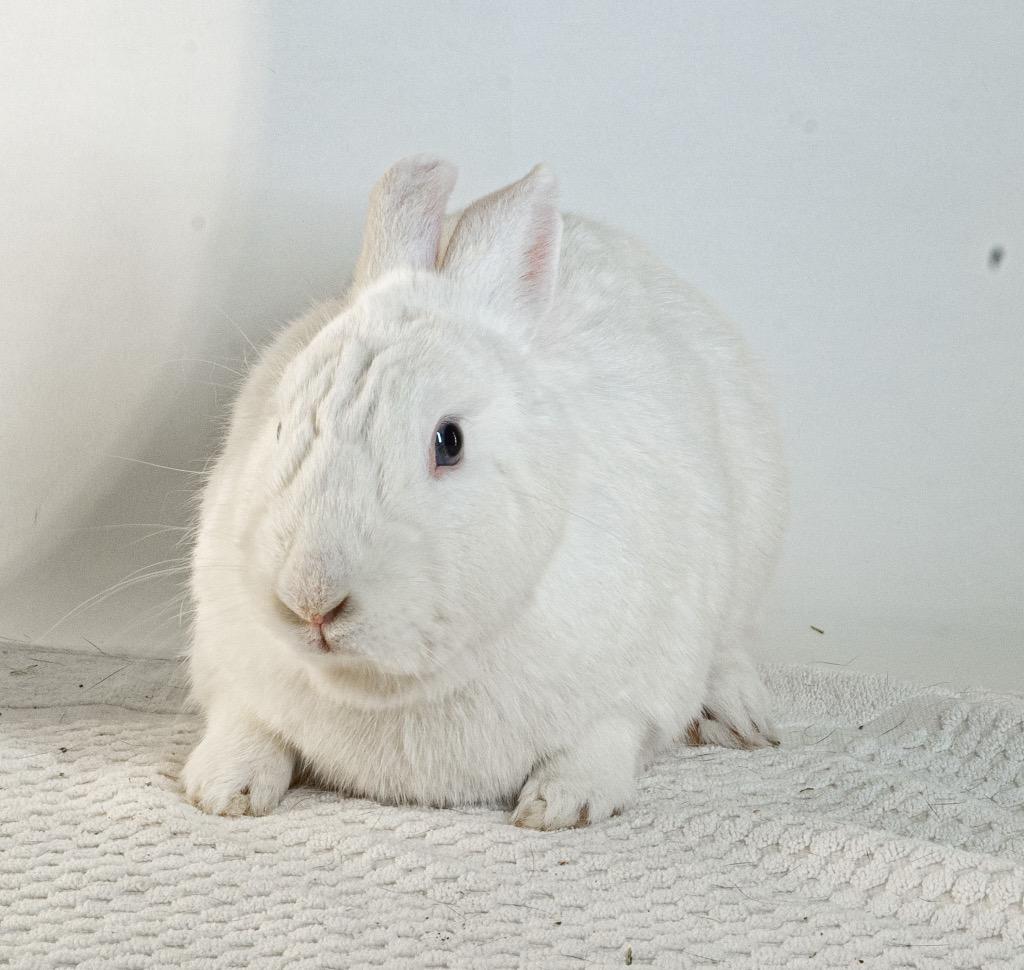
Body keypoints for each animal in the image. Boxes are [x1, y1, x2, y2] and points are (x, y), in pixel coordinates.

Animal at [181, 155, 787, 830]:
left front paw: (561, 804)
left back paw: (742, 720)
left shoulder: (644, 678)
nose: (310, 599)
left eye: (450, 442)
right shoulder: (230, 659)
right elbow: (247, 720)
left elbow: (607, 735)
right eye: (281, 426)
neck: (391, 687)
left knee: (728, 648)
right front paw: (221, 788)